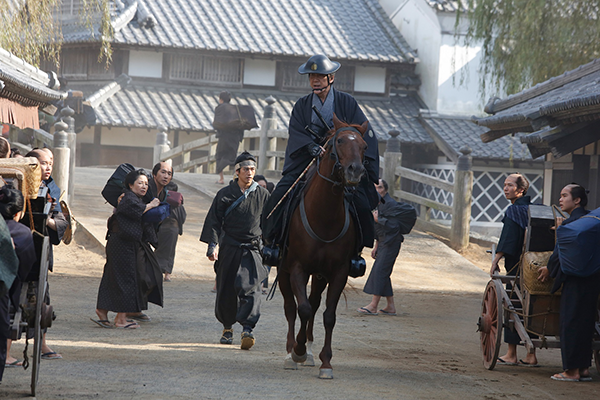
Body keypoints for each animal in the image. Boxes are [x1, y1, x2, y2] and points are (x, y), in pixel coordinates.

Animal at [278, 115, 368, 378]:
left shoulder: (338, 271)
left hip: (320, 275)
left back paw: (308, 349)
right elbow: (303, 309)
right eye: (339, 141)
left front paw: (325, 362)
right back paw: (291, 352)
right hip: (283, 268)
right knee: (291, 307)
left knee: (315, 301)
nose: (355, 170)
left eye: (364, 146)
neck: (324, 217)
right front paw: (297, 351)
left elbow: (328, 315)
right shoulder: (297, 267)